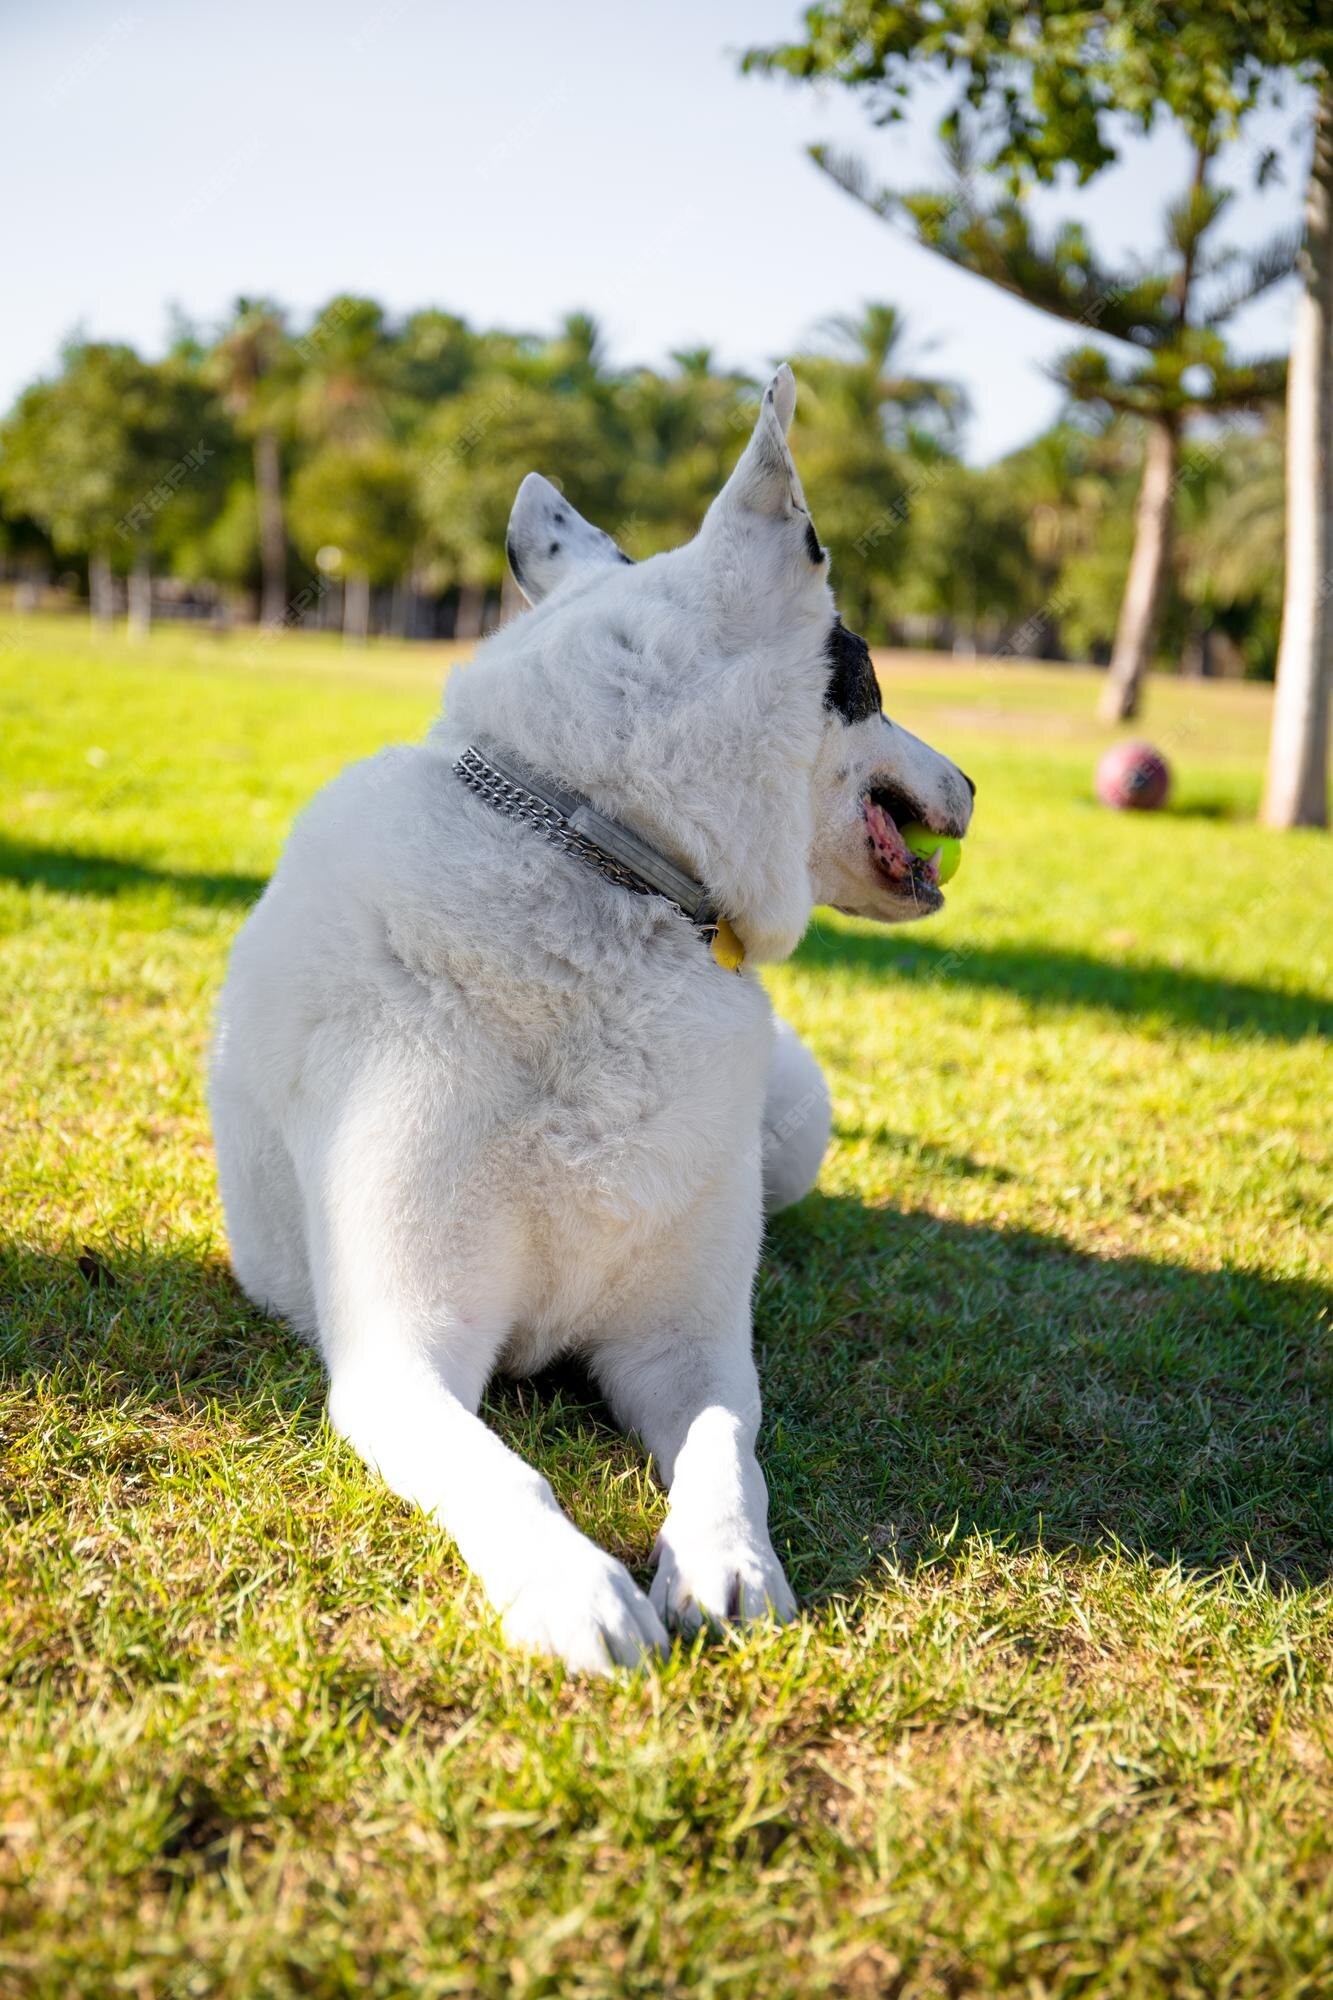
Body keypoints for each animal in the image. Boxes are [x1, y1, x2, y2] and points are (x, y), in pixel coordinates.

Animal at [213, 372, 972, 1672]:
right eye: (868, 675)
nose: (973, 781)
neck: (600, 860)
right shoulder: (399, 1355)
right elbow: (504, 1472)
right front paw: (572, 1583)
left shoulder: (686, 1346)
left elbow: (727, 1452)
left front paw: (726, 1559)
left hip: (796, 1121)